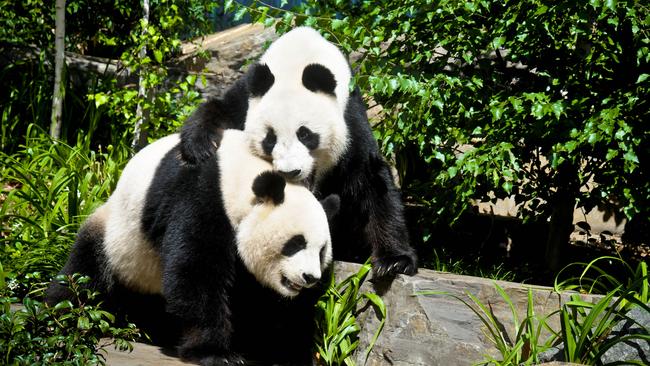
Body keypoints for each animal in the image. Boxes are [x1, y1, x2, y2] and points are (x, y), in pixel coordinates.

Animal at [45, 129, 340, 366]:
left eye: (321, 251)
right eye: (296, 243)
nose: (309, 277)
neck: (238, 175)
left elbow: (265, 303)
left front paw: (280, 350)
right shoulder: (201, 196)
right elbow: (196, 272)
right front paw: (217, 353)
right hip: (117, 237)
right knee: (85, 271)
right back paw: (59, 318)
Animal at [180, 26, 418, 278]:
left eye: (305, 135)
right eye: (270, 139)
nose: (290, 172)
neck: (296, 62)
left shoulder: (349, 119)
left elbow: (370, 177)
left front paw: (394, 261)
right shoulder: (246, 98)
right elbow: (219, 109)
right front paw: (200, 146)